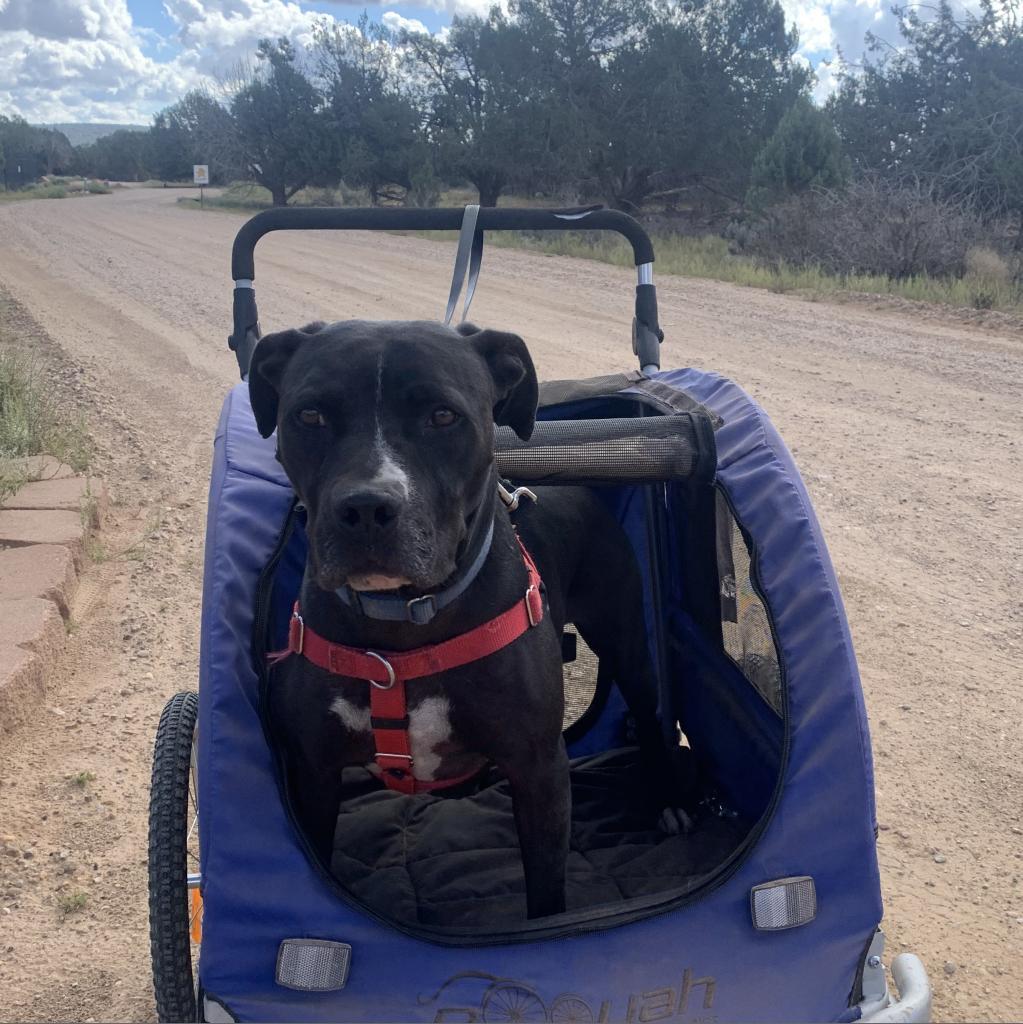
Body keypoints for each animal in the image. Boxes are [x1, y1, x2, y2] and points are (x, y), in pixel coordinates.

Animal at [251, 319, 692, 921]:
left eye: (443, 416)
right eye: (310, 416)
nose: (365, 507)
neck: (401, 622)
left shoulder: (539, 769)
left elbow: (546, 896)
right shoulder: (313, 774)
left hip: (625, 639)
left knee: (650, 716)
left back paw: (668, 799)